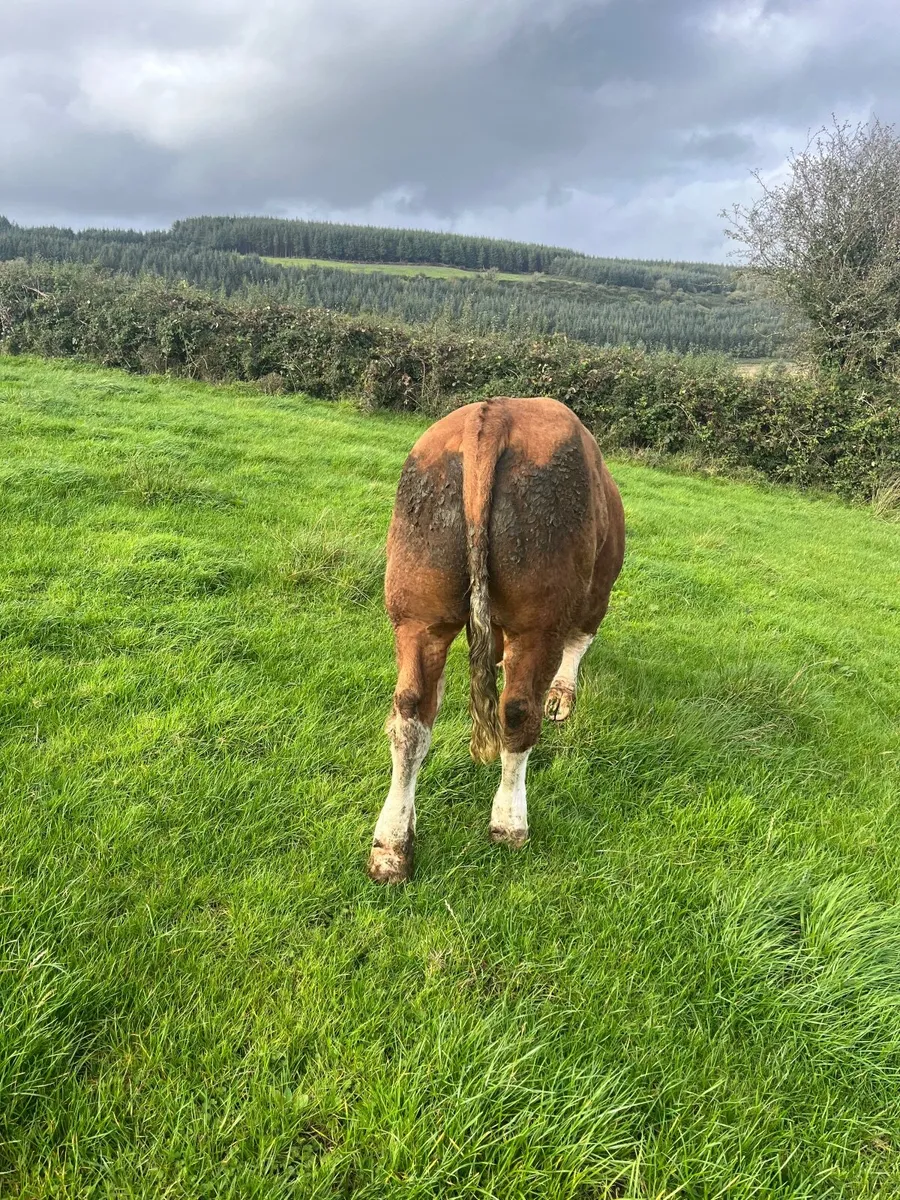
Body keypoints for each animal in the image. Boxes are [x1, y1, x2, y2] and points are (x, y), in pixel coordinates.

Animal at [367, 396, 625, 883]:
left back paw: (392, 844)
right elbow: (580, 643)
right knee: (517, 713)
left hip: (417, 611)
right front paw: (563, 696)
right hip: (538, 619)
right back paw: (509, 822)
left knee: (411, 713)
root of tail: (494, 414)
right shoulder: (597, 589)